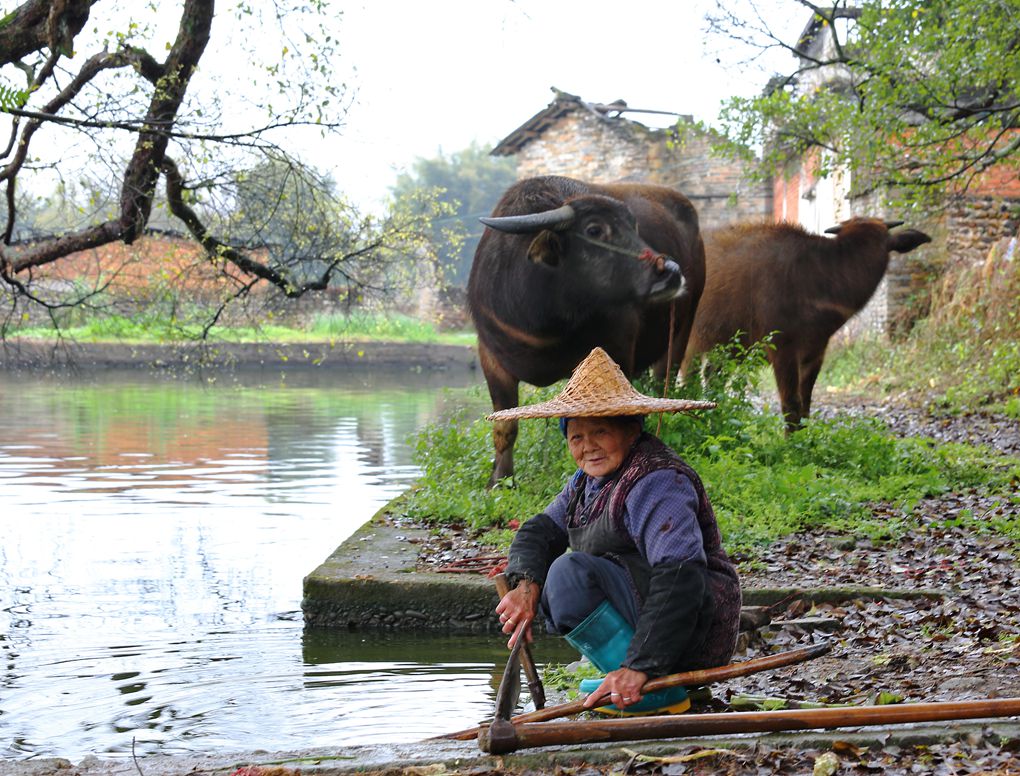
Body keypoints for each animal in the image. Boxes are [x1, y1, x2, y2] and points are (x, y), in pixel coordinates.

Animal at [471, 175, 705, 485]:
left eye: (634, 226)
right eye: (594, 230)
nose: (671, 272)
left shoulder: (617, 351)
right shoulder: (491, 360)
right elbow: (505, 426)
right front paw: (499, 480)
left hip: (684, 325)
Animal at [681, 216, 930, 430]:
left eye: (882, 242)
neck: (815, 280)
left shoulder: (816, 352)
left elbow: (806, 404)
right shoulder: (781, 349)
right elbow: (791, 403)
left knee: (710, 379)